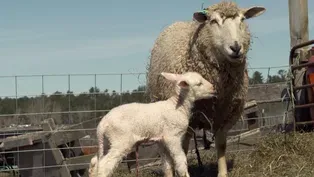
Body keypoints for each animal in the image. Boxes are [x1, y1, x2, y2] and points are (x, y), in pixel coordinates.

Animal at [147, 1, 264, 177]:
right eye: (214, 21)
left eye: (242, 19)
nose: (236, 47)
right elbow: (179, 151)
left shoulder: (225, 114)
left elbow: (221, 145)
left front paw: (222, 173)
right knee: (167, 153)